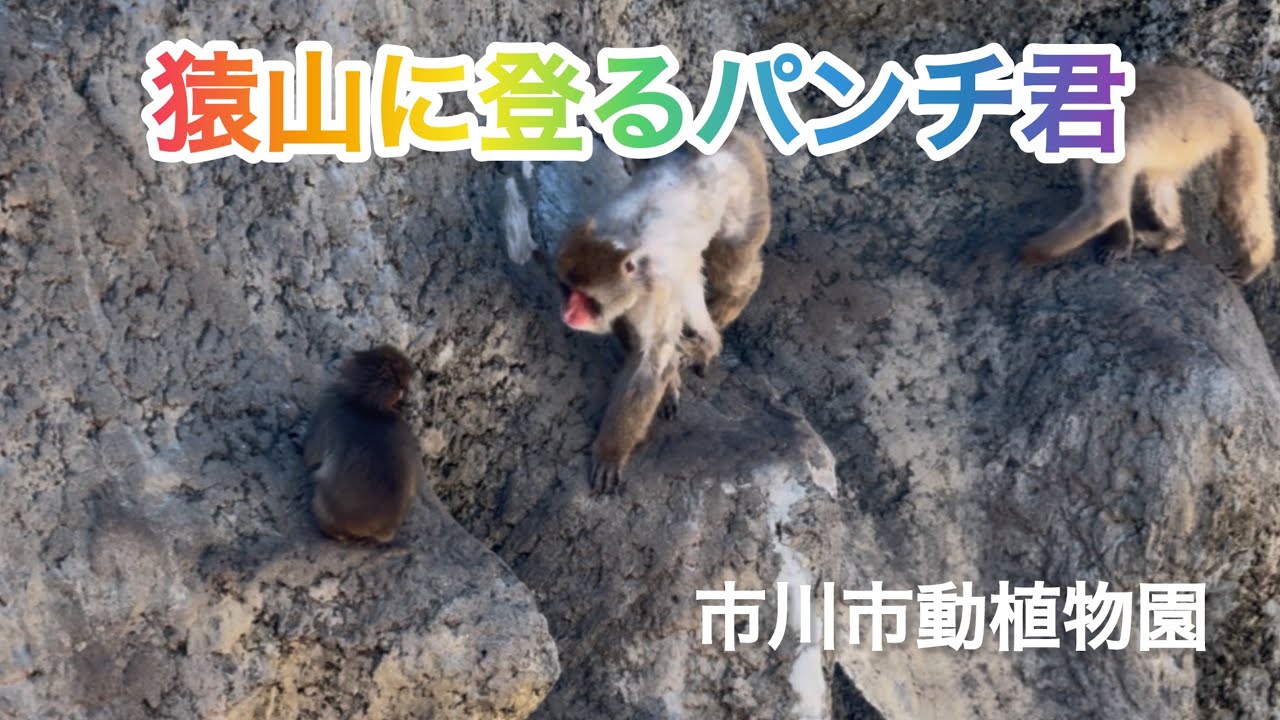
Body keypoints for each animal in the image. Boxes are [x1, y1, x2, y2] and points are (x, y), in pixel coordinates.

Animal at [303, 345, 422, 542]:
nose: (404, 402)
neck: (370, 406)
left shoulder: (330, 405)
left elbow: (309, 455)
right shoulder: (405, 432)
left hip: (326, 509)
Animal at [556, 130, 772, 492]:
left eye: (585, 299)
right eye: (569, 291)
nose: (568, 313)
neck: (624, 244)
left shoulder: (654, 297)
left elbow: (651, 362)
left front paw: (611, 451)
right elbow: (635, 341)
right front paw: (670, 381)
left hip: (746, 196)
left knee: (734, 268)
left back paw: (719, 322)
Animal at [1021, 64, 1275, 284]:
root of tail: (1235, 97)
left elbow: (1106, 207)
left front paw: (1030, 252)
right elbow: (1113, 204)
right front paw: (1122, 240)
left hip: (1241, 134)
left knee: (1235, 200)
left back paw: (1253, 263)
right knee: (1157, 182)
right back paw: (1174, 235)